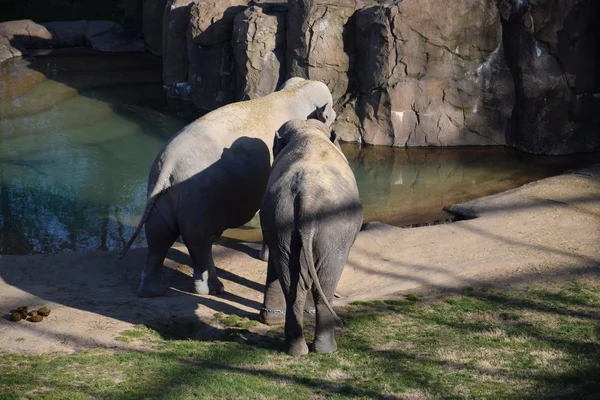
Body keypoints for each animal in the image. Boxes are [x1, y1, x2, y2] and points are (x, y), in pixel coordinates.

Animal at [120, 78, 338, 296]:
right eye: (333, 119)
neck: (295, 92)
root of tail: (169, 162)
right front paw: (266, 258)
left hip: (160, 197)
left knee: (159, 238)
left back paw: (152, 291)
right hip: (199, 201)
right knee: (200, 243)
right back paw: (210, 289)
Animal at [260, 119, 364, 356]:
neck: (308, 131)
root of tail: (306, 197)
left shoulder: (273, 227)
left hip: (287, 223)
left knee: (294, 286)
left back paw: (298, 350)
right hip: (332, 233)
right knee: (324, 283)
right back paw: (326, 349)